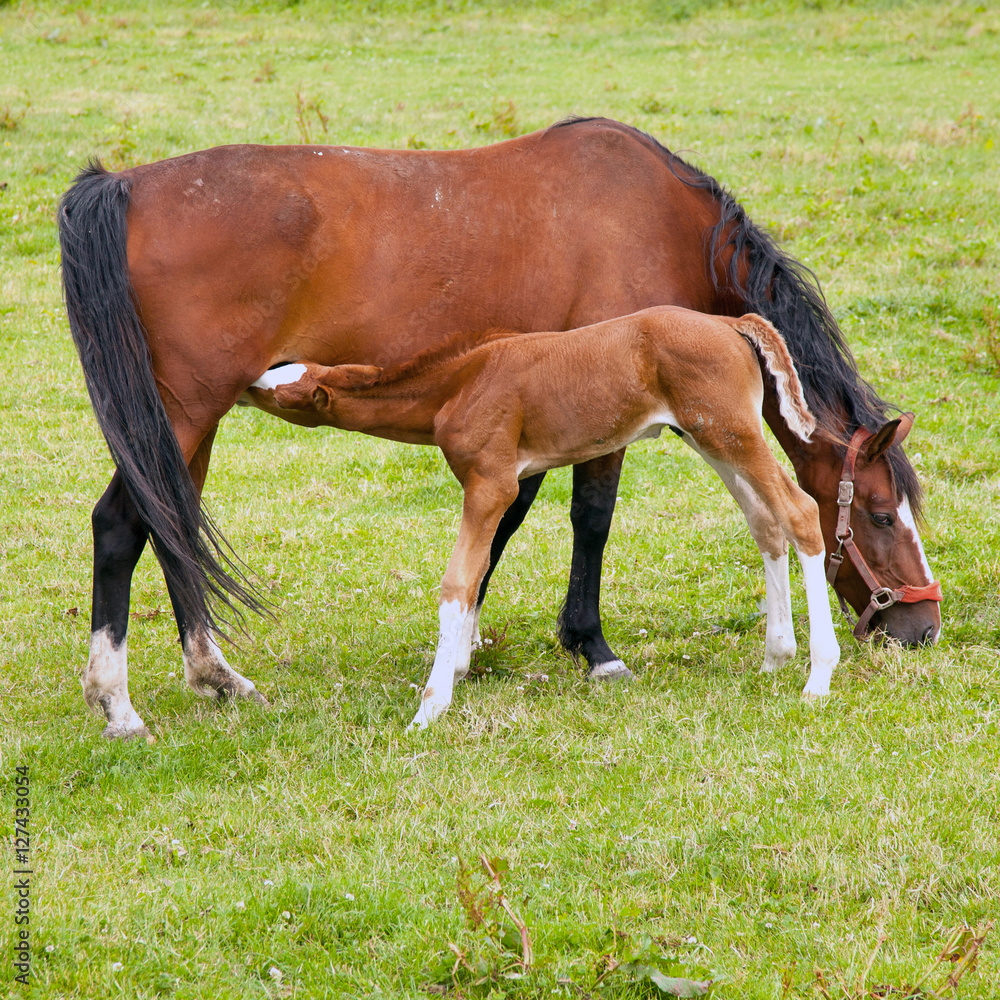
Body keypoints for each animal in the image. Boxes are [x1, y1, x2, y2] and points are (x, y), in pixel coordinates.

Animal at [248, 304, 836, 728]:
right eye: (280, 372)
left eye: (280, 391)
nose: (245, 381)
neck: (459, 382)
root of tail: (728, 322)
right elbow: (480, 569)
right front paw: (459, 666)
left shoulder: (491, 484)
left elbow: (459, 580)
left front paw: (432, 705)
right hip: (710, 436)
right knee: (766, 522)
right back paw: (777, 655)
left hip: (728, 431)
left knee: (801, 513)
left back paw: (817, 678)